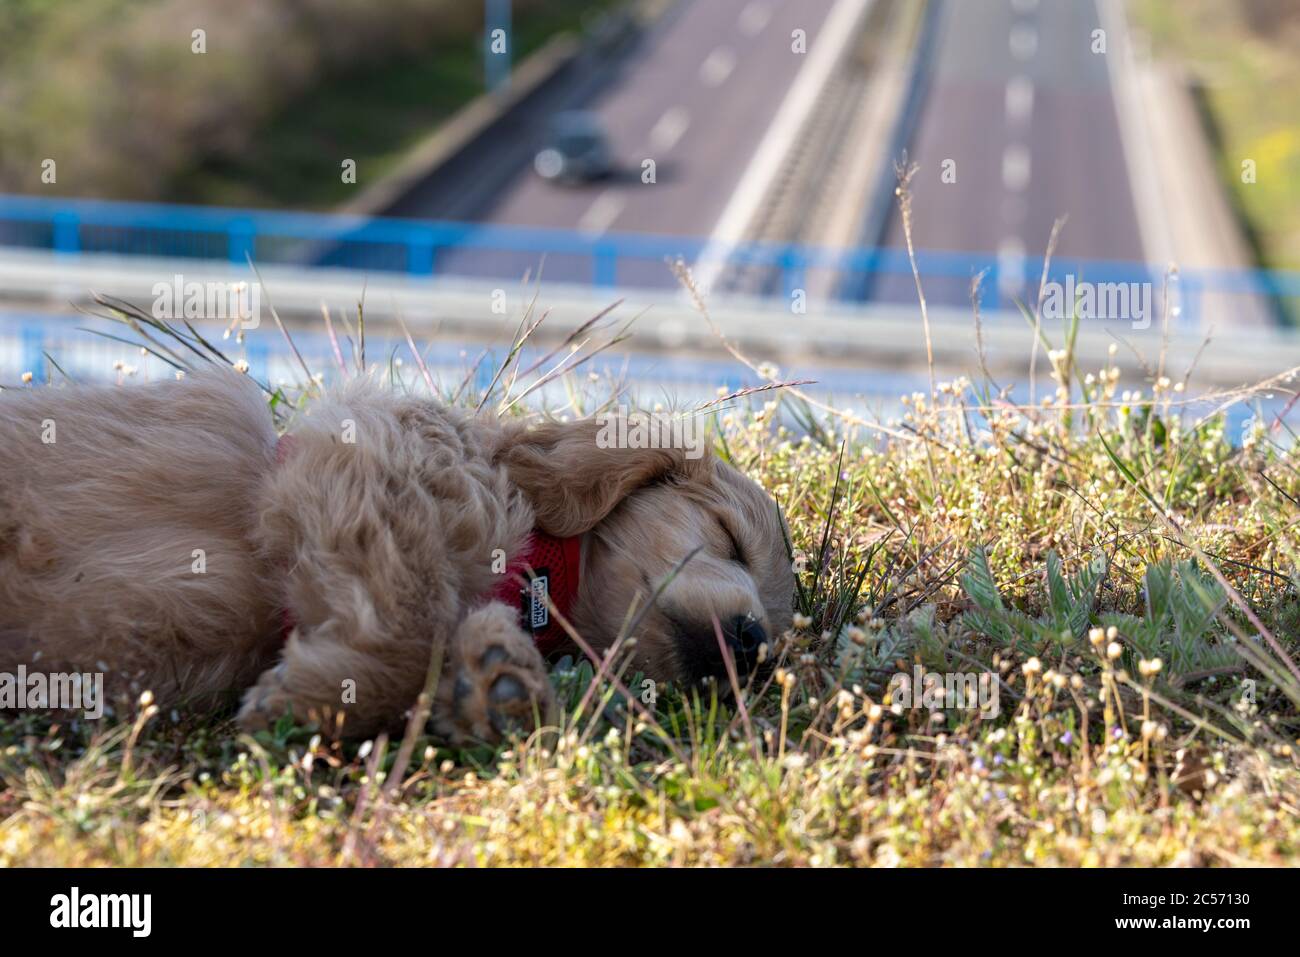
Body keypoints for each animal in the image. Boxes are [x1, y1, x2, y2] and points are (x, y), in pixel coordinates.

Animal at [0, 366, 790, 738]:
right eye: (728, 537)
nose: (754, 647)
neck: (535, 571)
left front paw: (491, 685)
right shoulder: (377, 472)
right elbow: (415, 626)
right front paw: (314, 699)